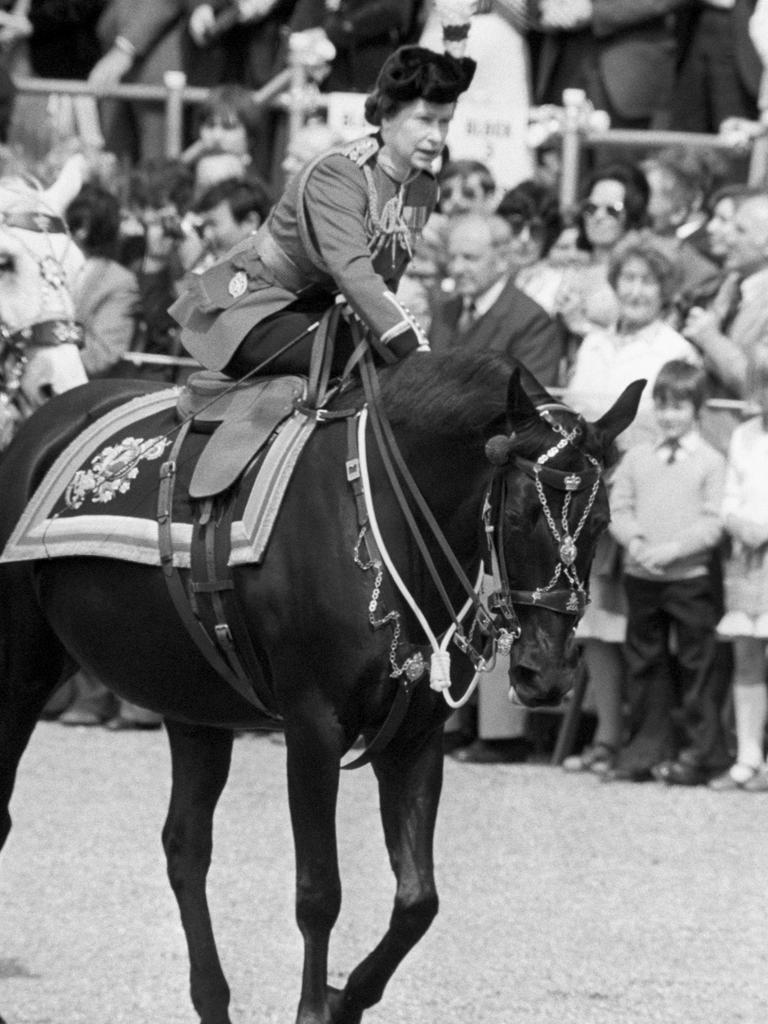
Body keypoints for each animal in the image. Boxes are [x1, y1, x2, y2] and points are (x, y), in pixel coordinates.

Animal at [0, 354, 643, 1024]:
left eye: (602, 524)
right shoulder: (313, 733)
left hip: (197, 710)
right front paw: (317, 1006)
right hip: (21, 678)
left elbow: (418, 899)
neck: (386, 520)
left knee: (186, 848)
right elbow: (319, 893)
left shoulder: (413, 740)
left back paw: (213, 997)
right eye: (517, 516)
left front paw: (344, 999)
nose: (546, 674)